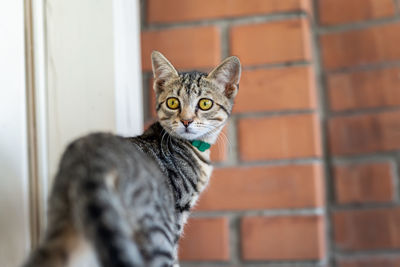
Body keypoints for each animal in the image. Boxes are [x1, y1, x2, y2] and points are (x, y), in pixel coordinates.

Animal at [22, 50, 241, 267]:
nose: (186, 121)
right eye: (172, 102)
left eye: (205, 103)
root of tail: (93, 154)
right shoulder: (177, 215)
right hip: (157, 230)